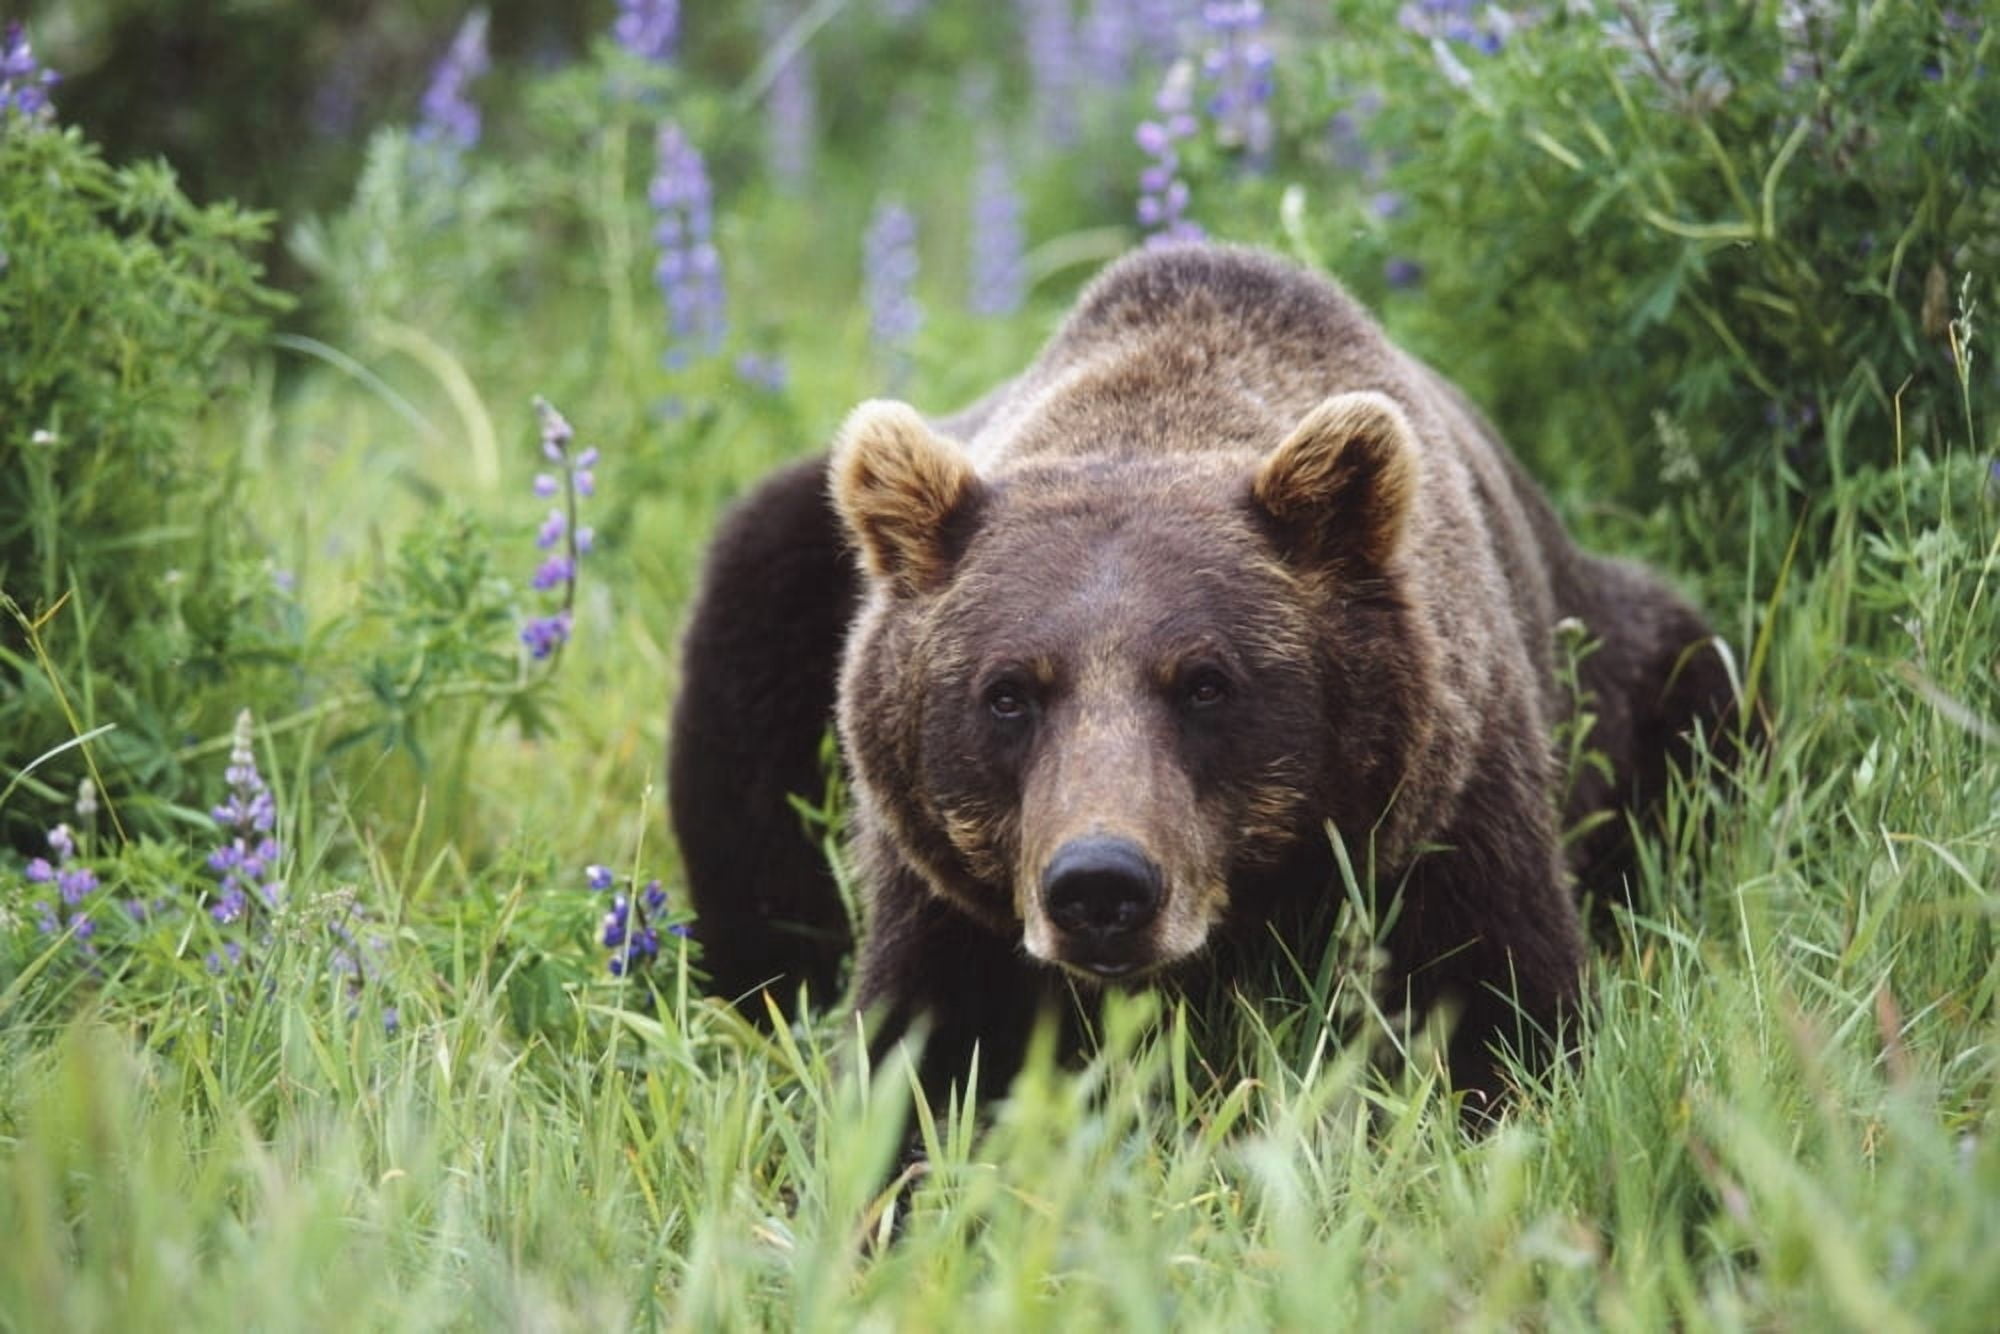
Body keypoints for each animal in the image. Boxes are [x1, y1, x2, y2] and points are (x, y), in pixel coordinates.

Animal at [668, 243, 1737, 1110]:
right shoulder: (943, 890)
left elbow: (1504, 1012)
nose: (1100, 885)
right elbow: (919, 1062)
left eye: (1206, 683)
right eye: (1007, 692)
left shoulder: (1450, 800)